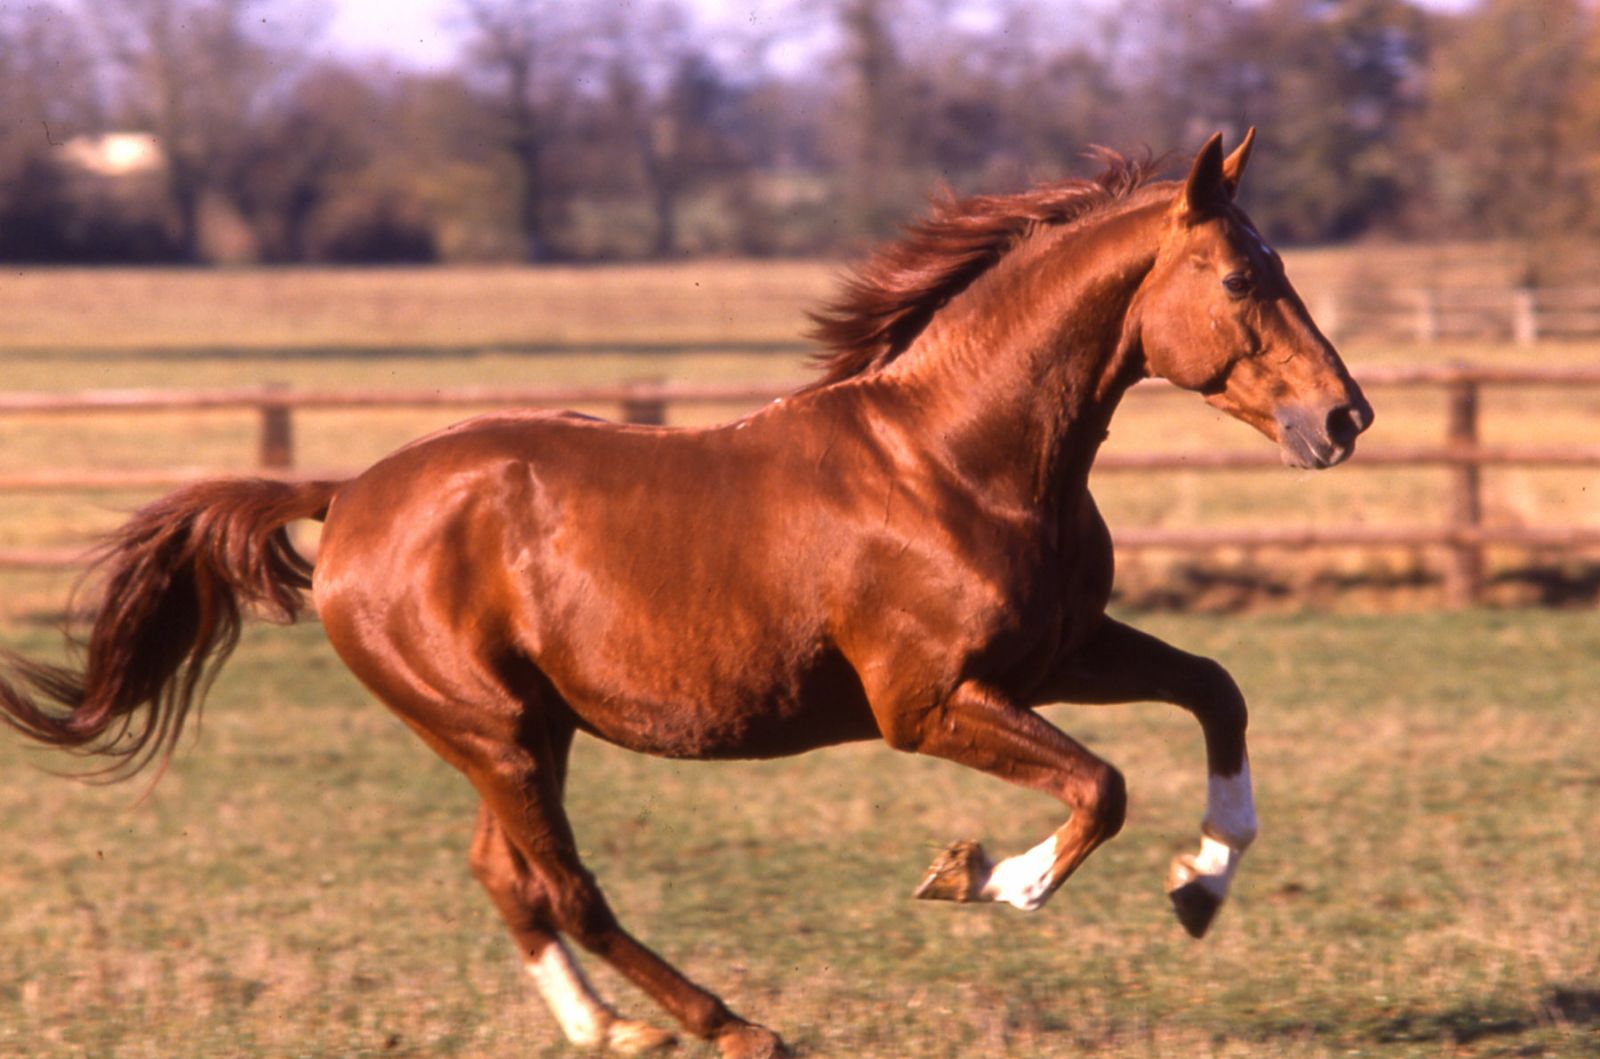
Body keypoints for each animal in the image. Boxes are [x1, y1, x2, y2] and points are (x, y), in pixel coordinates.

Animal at [3, 135, 1376, 1059]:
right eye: (1242, 281)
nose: (1344, 419)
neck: (958, 459)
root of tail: (348, 497)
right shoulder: (929, 703)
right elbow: (1101, 787)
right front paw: (982, 877)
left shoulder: (1060, 652)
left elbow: (1215, 693)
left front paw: (1201, 885)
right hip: (492, 729)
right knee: (562, 885)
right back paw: (729, 1026)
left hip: (526, 730)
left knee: (506, 875)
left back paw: (612, 1031)